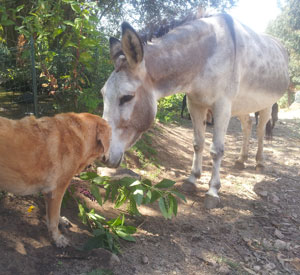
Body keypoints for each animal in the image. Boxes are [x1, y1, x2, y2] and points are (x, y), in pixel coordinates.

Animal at [0, 112, 110, 248]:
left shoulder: (48, 193)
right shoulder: (57, 191)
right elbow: (54, 217)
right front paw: (57, 238)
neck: (80, 136)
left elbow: (53, 215)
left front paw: (61, 222)